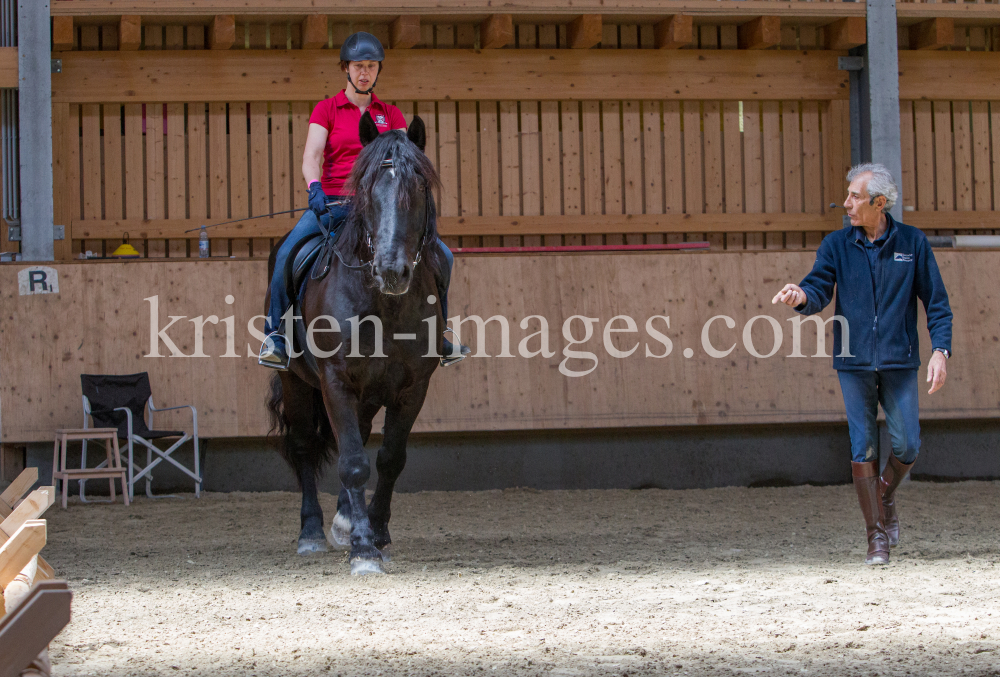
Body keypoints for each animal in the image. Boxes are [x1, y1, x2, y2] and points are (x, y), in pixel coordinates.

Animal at [266, 113, 442, 572]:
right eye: (366, 189)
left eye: (419, 188)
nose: (391, 270)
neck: (383, 302)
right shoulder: (336, 382)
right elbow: (353, 464)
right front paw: (363, 549)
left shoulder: (414, 387)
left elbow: (389, 459)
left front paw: (374, 533)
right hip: (297, 382)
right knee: (305, 446)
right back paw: (312, 532)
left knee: (360, 437)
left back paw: (345, 521)